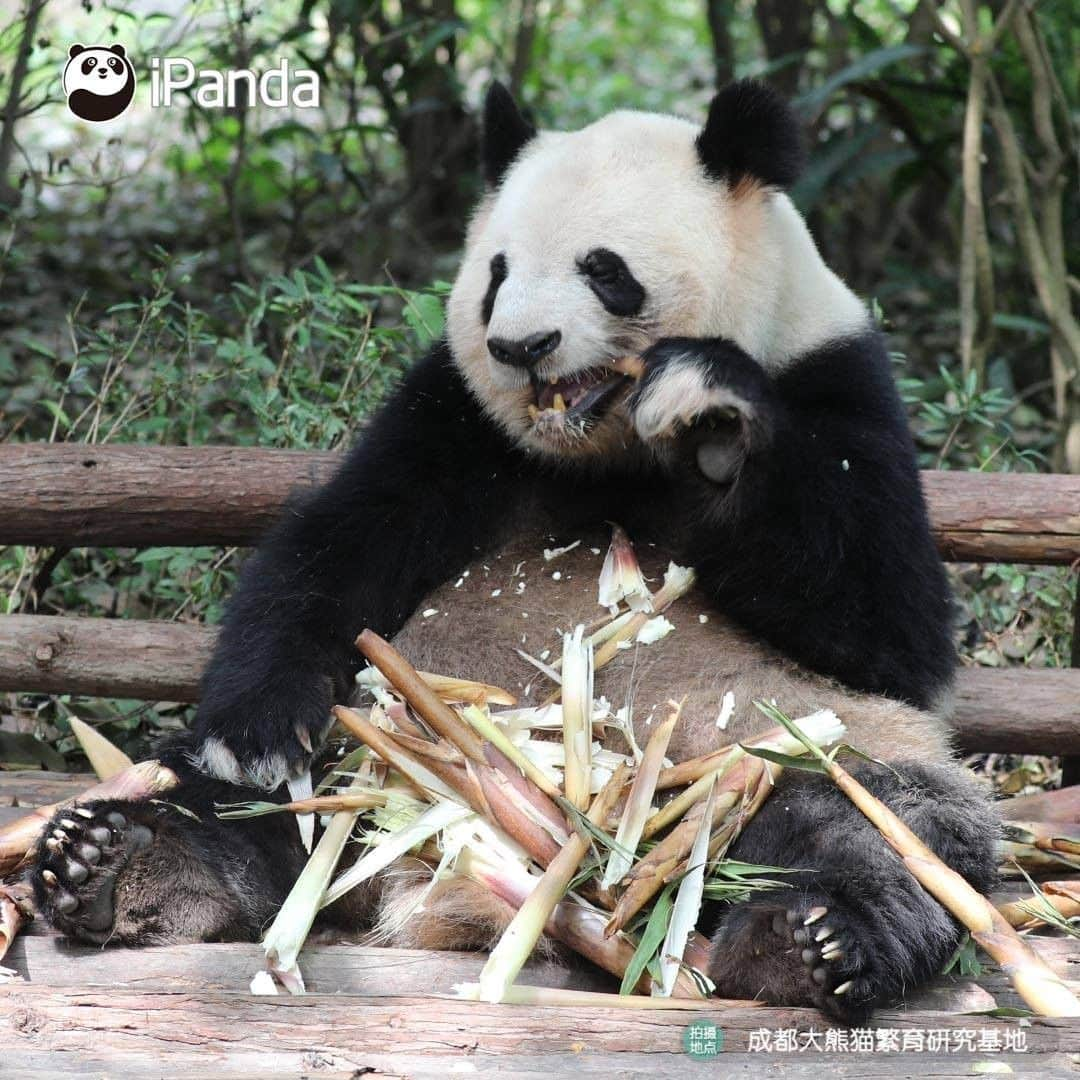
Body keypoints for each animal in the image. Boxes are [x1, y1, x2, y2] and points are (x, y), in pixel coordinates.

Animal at [31, 79, 993, 1015]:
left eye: (603, 270)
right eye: (497, 274)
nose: (521, 347)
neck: (604, 450)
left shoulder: (839, 382)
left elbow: (887, 630)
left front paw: (714, 418)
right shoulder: (451, 417)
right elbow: (335, 552)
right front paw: (258, 733)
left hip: (768, 754)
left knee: (886, 825)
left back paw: (810, 941)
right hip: (368, 746)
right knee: (236, 805)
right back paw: (119, 865)